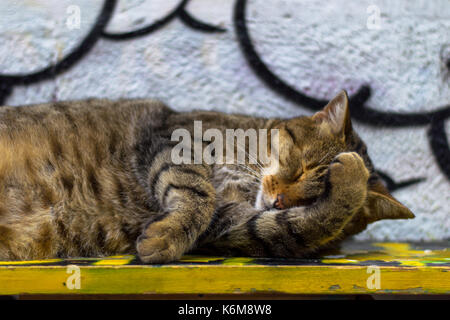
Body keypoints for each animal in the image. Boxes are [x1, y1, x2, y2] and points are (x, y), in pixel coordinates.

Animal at [0, 90, 414, 262]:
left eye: (315, 193)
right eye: (299, 168)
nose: (280, 200)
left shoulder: (231, 226)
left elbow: (293, 227)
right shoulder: (174, 139)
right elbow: (196, 192)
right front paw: (167, 236)